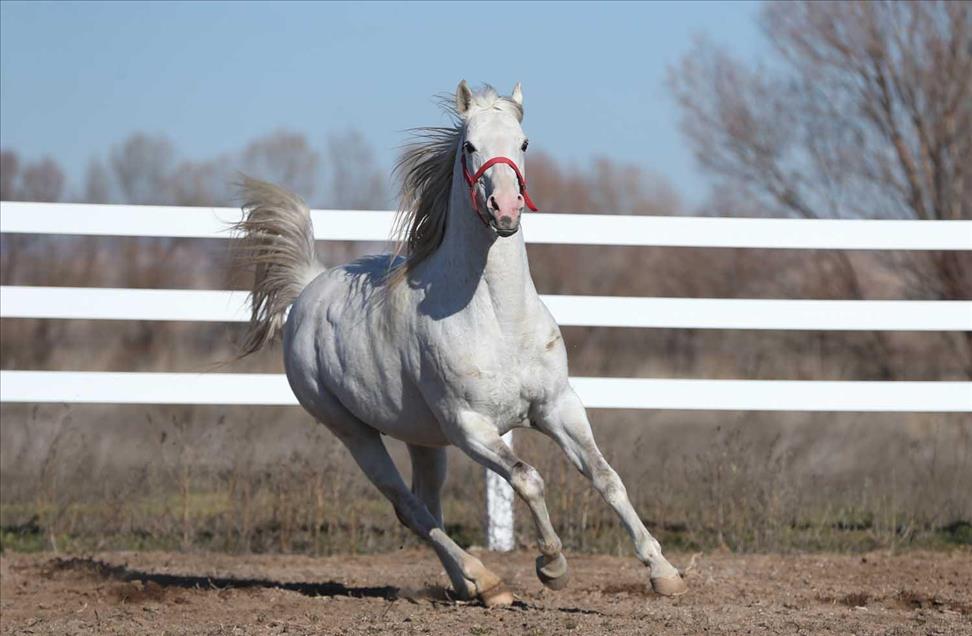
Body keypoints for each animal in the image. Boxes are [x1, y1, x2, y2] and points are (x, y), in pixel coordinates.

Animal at [232, 81, 687, 606]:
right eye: (470, 146)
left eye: (524, 143)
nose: (505, 210)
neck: (499, 319)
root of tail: (308, 288)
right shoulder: (470, 426)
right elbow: (528, 478)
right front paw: (552, 566)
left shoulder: (558, 406)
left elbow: (606, 477)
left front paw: (664, 572)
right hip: (354, 433)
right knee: (408, 507)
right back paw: (487, 581)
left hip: (422, 440)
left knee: (426, 506)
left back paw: (471, 586)